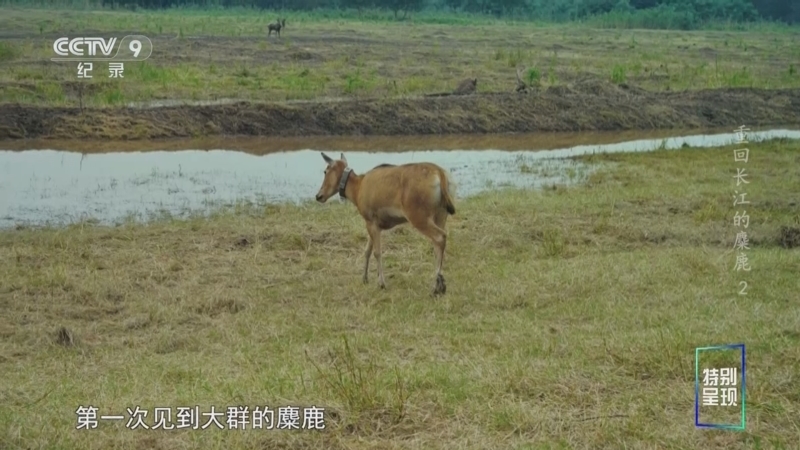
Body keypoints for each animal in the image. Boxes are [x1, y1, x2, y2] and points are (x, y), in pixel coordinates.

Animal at [315, 153, 457, 296]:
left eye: (325, 171)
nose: (318, 195)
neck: (357, 189)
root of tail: (440, 173)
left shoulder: (371, 221)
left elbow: (377, 252)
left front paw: (381, 283)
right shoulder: (373, 224)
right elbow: (367, 250)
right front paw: (364, 278)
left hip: (418, 216)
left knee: (440, 237)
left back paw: (437, 286)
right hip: (440, 215)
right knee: (437, 244)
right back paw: (440, 284)